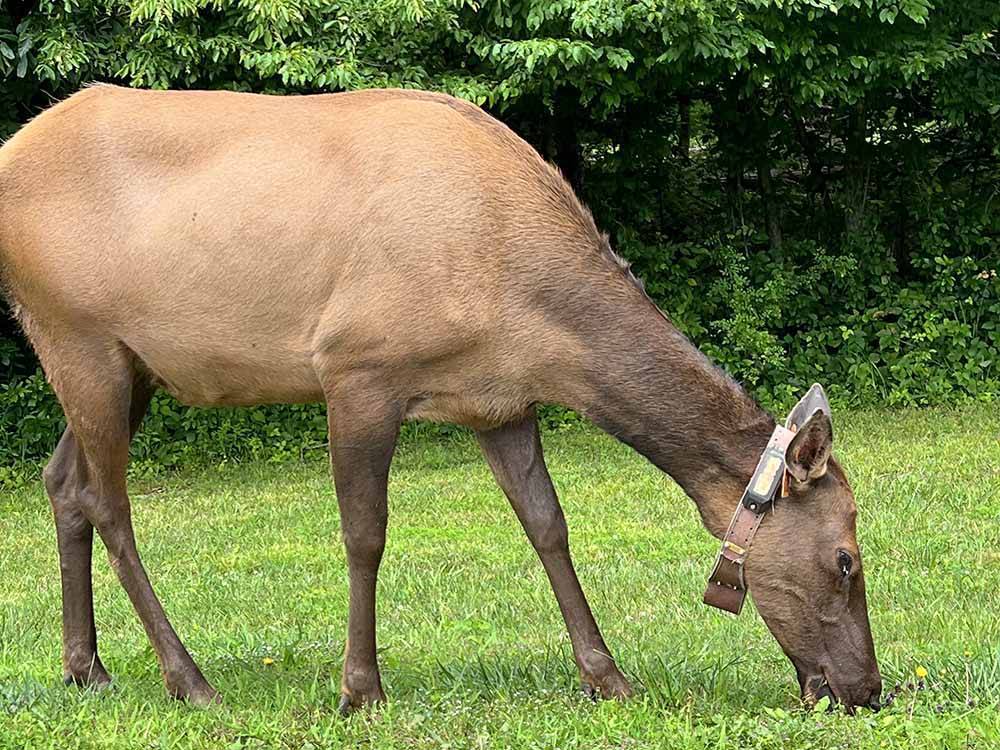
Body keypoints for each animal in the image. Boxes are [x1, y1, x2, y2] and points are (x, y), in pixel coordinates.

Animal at [0, 84, 881, 713]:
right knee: (111, 503)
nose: (867, 691)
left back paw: (87, 668)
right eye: (847, 560)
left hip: (130, 364)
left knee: (62, 480)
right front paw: (360, 688)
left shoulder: (501, 400)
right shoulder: (357, 368)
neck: (524, 311)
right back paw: (189, 679)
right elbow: (365, 534)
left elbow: (548, 525)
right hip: (79, 334)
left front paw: (607, 676)